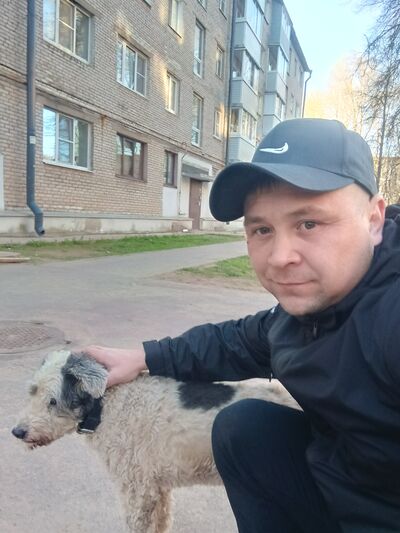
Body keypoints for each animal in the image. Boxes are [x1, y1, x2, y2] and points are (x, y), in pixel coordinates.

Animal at [12, 349, 299, 533]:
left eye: (52, 401)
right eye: (32, 391)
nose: (17, 431)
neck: (107, 405)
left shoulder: (137, 490)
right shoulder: (156, 487)